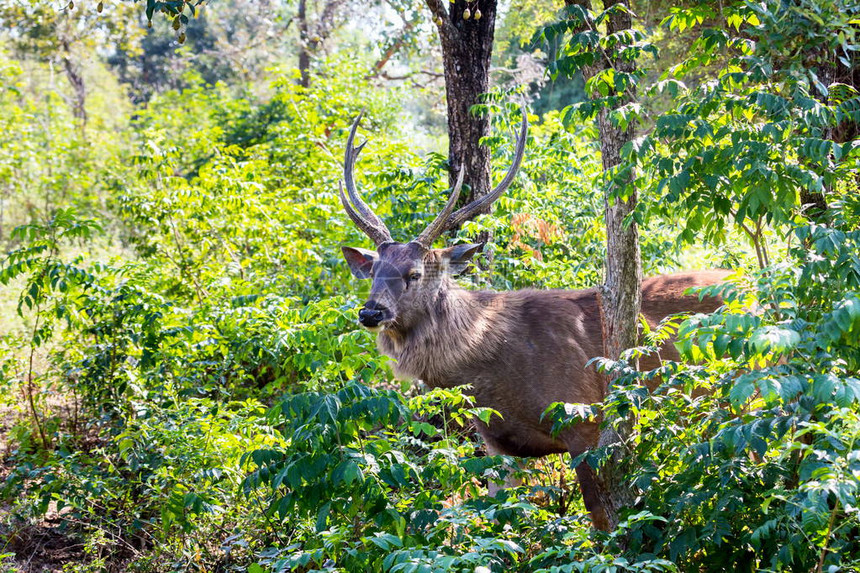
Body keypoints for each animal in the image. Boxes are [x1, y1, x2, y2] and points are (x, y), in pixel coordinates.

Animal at [340, 114, 728, 528]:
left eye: (413, 273)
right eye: (373, 271)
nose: (371, 312)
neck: (493, 367)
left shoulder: (584, 418)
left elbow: (601, 518)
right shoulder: (497, 443)